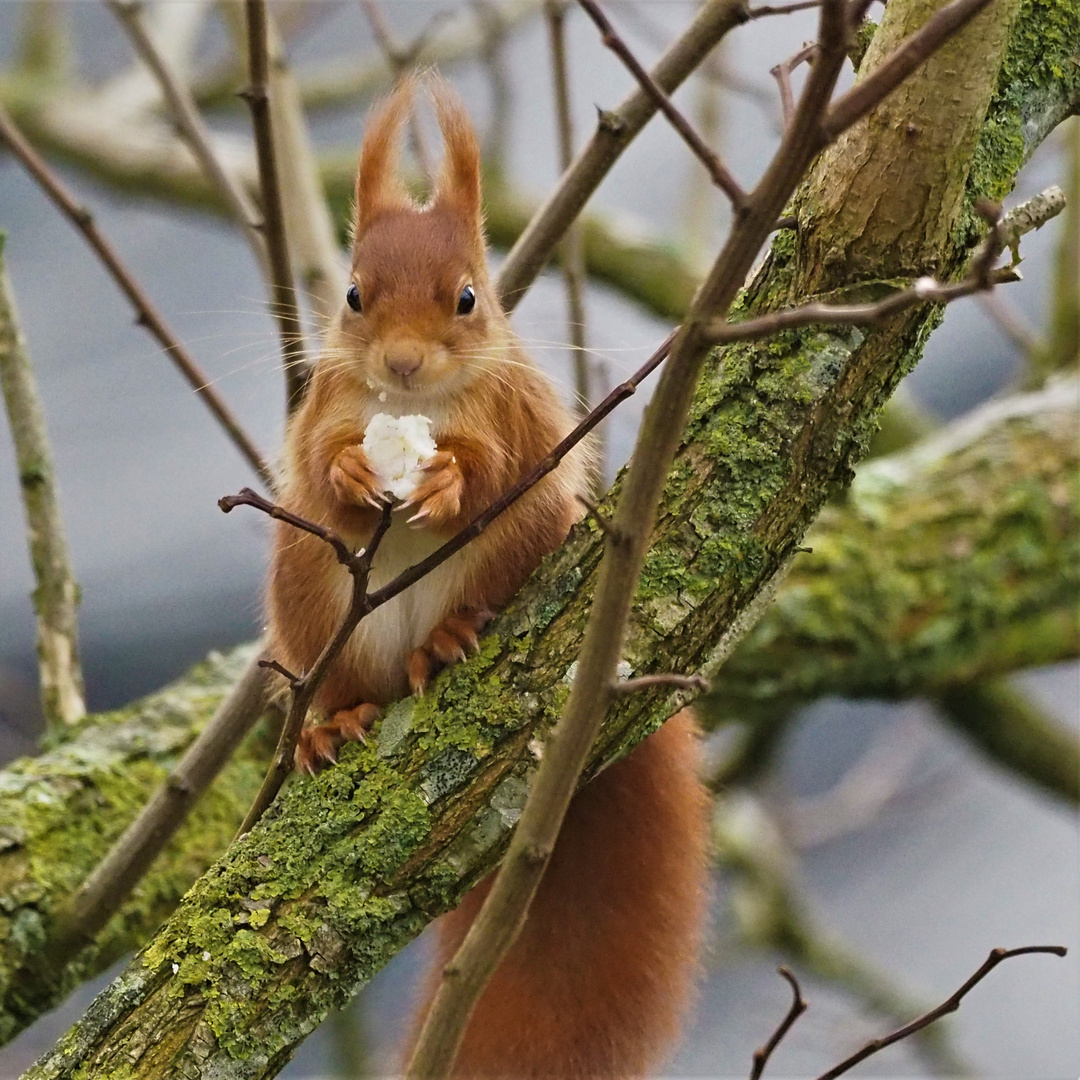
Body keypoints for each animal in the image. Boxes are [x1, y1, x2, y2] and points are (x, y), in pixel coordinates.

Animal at [266, 78, 711, 1079]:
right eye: (353, 295)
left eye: (469, 296)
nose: (400, 361)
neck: (413, 407)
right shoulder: (321, 412)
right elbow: (316, 469)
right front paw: (351, 474)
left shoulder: (514, 415)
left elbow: (497, 465)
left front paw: (447, 480)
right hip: (307, 598)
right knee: (344, 676)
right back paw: (334, 721)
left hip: (526, 542)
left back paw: (447, 637)